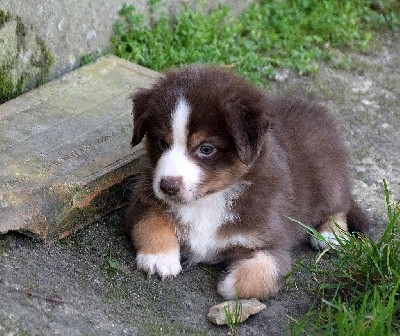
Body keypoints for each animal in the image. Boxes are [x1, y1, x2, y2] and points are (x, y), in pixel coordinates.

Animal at [126, 65, 372, 300]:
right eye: (161, 142)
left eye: (206, 148)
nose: (167, 186)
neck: (209, 199)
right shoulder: (144, 197)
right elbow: (151, 222)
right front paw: (160, 258)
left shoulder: (270, 238)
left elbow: (261, 275)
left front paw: (229, 282)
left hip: (329, 178)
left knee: (340, 205)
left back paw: (331, 234)